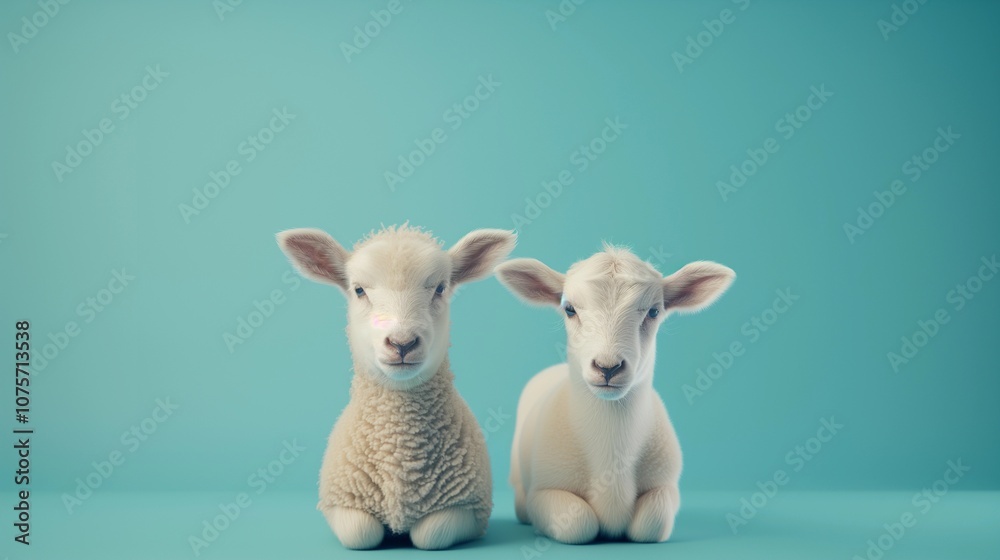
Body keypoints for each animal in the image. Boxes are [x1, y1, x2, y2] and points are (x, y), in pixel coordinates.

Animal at [276, 224, 516, 550]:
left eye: (440, 288)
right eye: (359, 290)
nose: (402, 343)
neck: (398, 451)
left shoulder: (468, 509)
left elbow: (430, 535)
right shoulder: (341, 502)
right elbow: (360, 533)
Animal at [495, 245, 734, 544]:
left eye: (654, 311)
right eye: (569, 309)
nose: (608, 367)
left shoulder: (665, 486)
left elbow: (651, 524)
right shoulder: (544, 491)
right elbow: (579, 523)